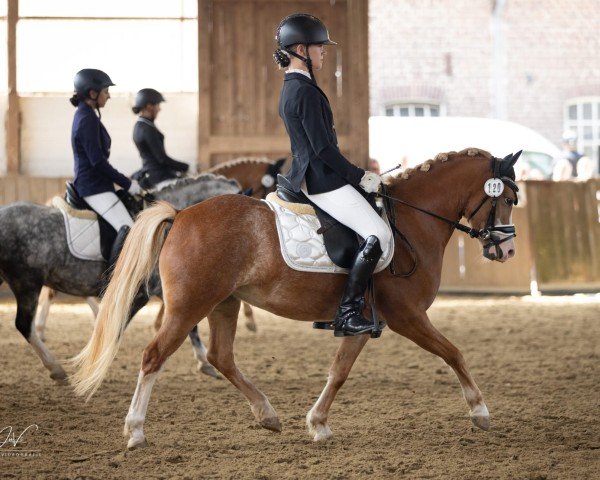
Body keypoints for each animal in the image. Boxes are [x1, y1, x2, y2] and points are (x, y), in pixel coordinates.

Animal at [0, 173, 239, 382]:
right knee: (24, 324)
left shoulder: (166, 290)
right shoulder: (139, 295)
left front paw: (204, 362)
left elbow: (190, 326)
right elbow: (115, 331)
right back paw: (56, 368)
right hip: (26, 283)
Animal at [71, 148, 520, 448]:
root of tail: (181, 214)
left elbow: (339, 371)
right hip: (187, 307)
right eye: (508, 199)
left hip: (224, 302)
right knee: (154, 357)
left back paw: (267, 415)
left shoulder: (363, 322)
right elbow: (454, 353)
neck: (411, 221)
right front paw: (480, 411)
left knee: (221, 356)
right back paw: (135, 431)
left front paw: (318, 423)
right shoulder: (407, 316)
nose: (507, 251)